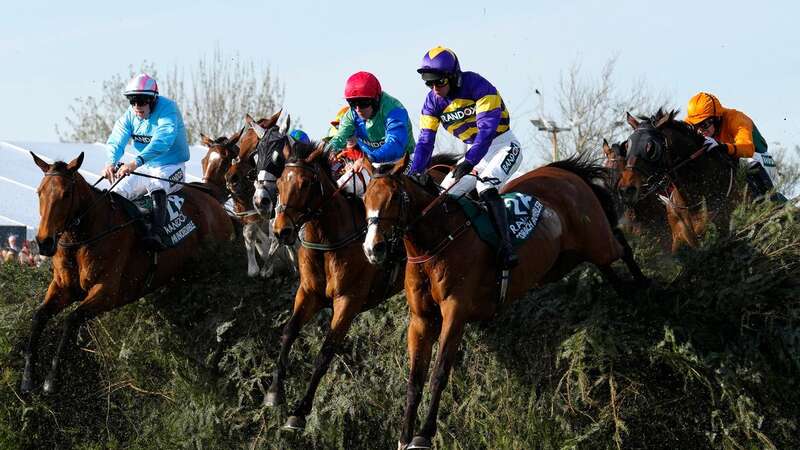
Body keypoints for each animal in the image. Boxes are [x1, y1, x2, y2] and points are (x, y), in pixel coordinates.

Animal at [21, 151, 233, 394]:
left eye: (66, 194)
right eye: (39, 192)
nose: (44, 242)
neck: (84, 237)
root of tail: (216, 204)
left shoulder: (107, 293)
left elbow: (71, 319)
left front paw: (52, 379)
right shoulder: (63, 287)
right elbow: (39, 317)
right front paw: (28, 378)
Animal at [268, 142, 406, 432]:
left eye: (306, 183)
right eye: (280, 182)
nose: (281, 231)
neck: (328, 242)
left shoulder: (348, 300)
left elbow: (325, 352)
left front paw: (299, 412)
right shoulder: (308, 293)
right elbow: (289, 332)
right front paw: (274, 391)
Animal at [360, 153, 648, 448]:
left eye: (395, 197)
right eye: (364, 199)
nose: (374, 249)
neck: (435, 242)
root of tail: (565, 173)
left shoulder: (456, 311)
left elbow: (439, 373)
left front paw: (423, 434)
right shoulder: (421, 319)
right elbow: (415, 379)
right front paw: (404, 437)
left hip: (597, 243)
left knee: (621, 247)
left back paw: (645, 291)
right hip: (563, 261)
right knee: (607, 266)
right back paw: (627, 292)